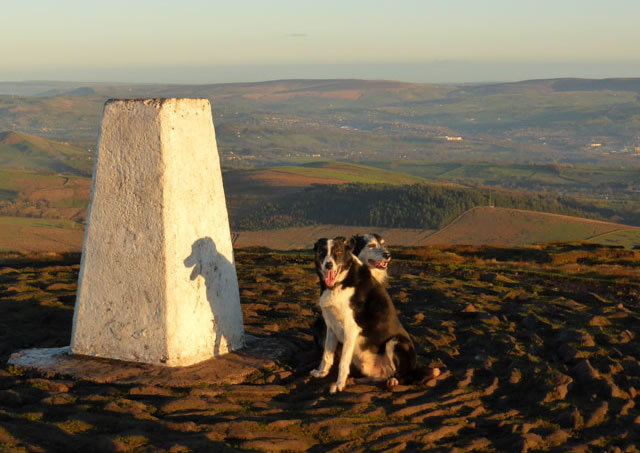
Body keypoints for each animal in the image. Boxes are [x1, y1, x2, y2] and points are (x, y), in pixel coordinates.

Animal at [312, 237, 440, 392]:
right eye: (322, 252)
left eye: (338, 252)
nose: (328, 265)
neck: (340, 282)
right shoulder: (331, 326)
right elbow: (326, 355)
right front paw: (321, 373)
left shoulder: (350, 328)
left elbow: (343, 362)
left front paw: (339, 384)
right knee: (381, 377)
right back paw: (361, 380)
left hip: (396, 341)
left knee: (403, 377)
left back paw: (393, 381)